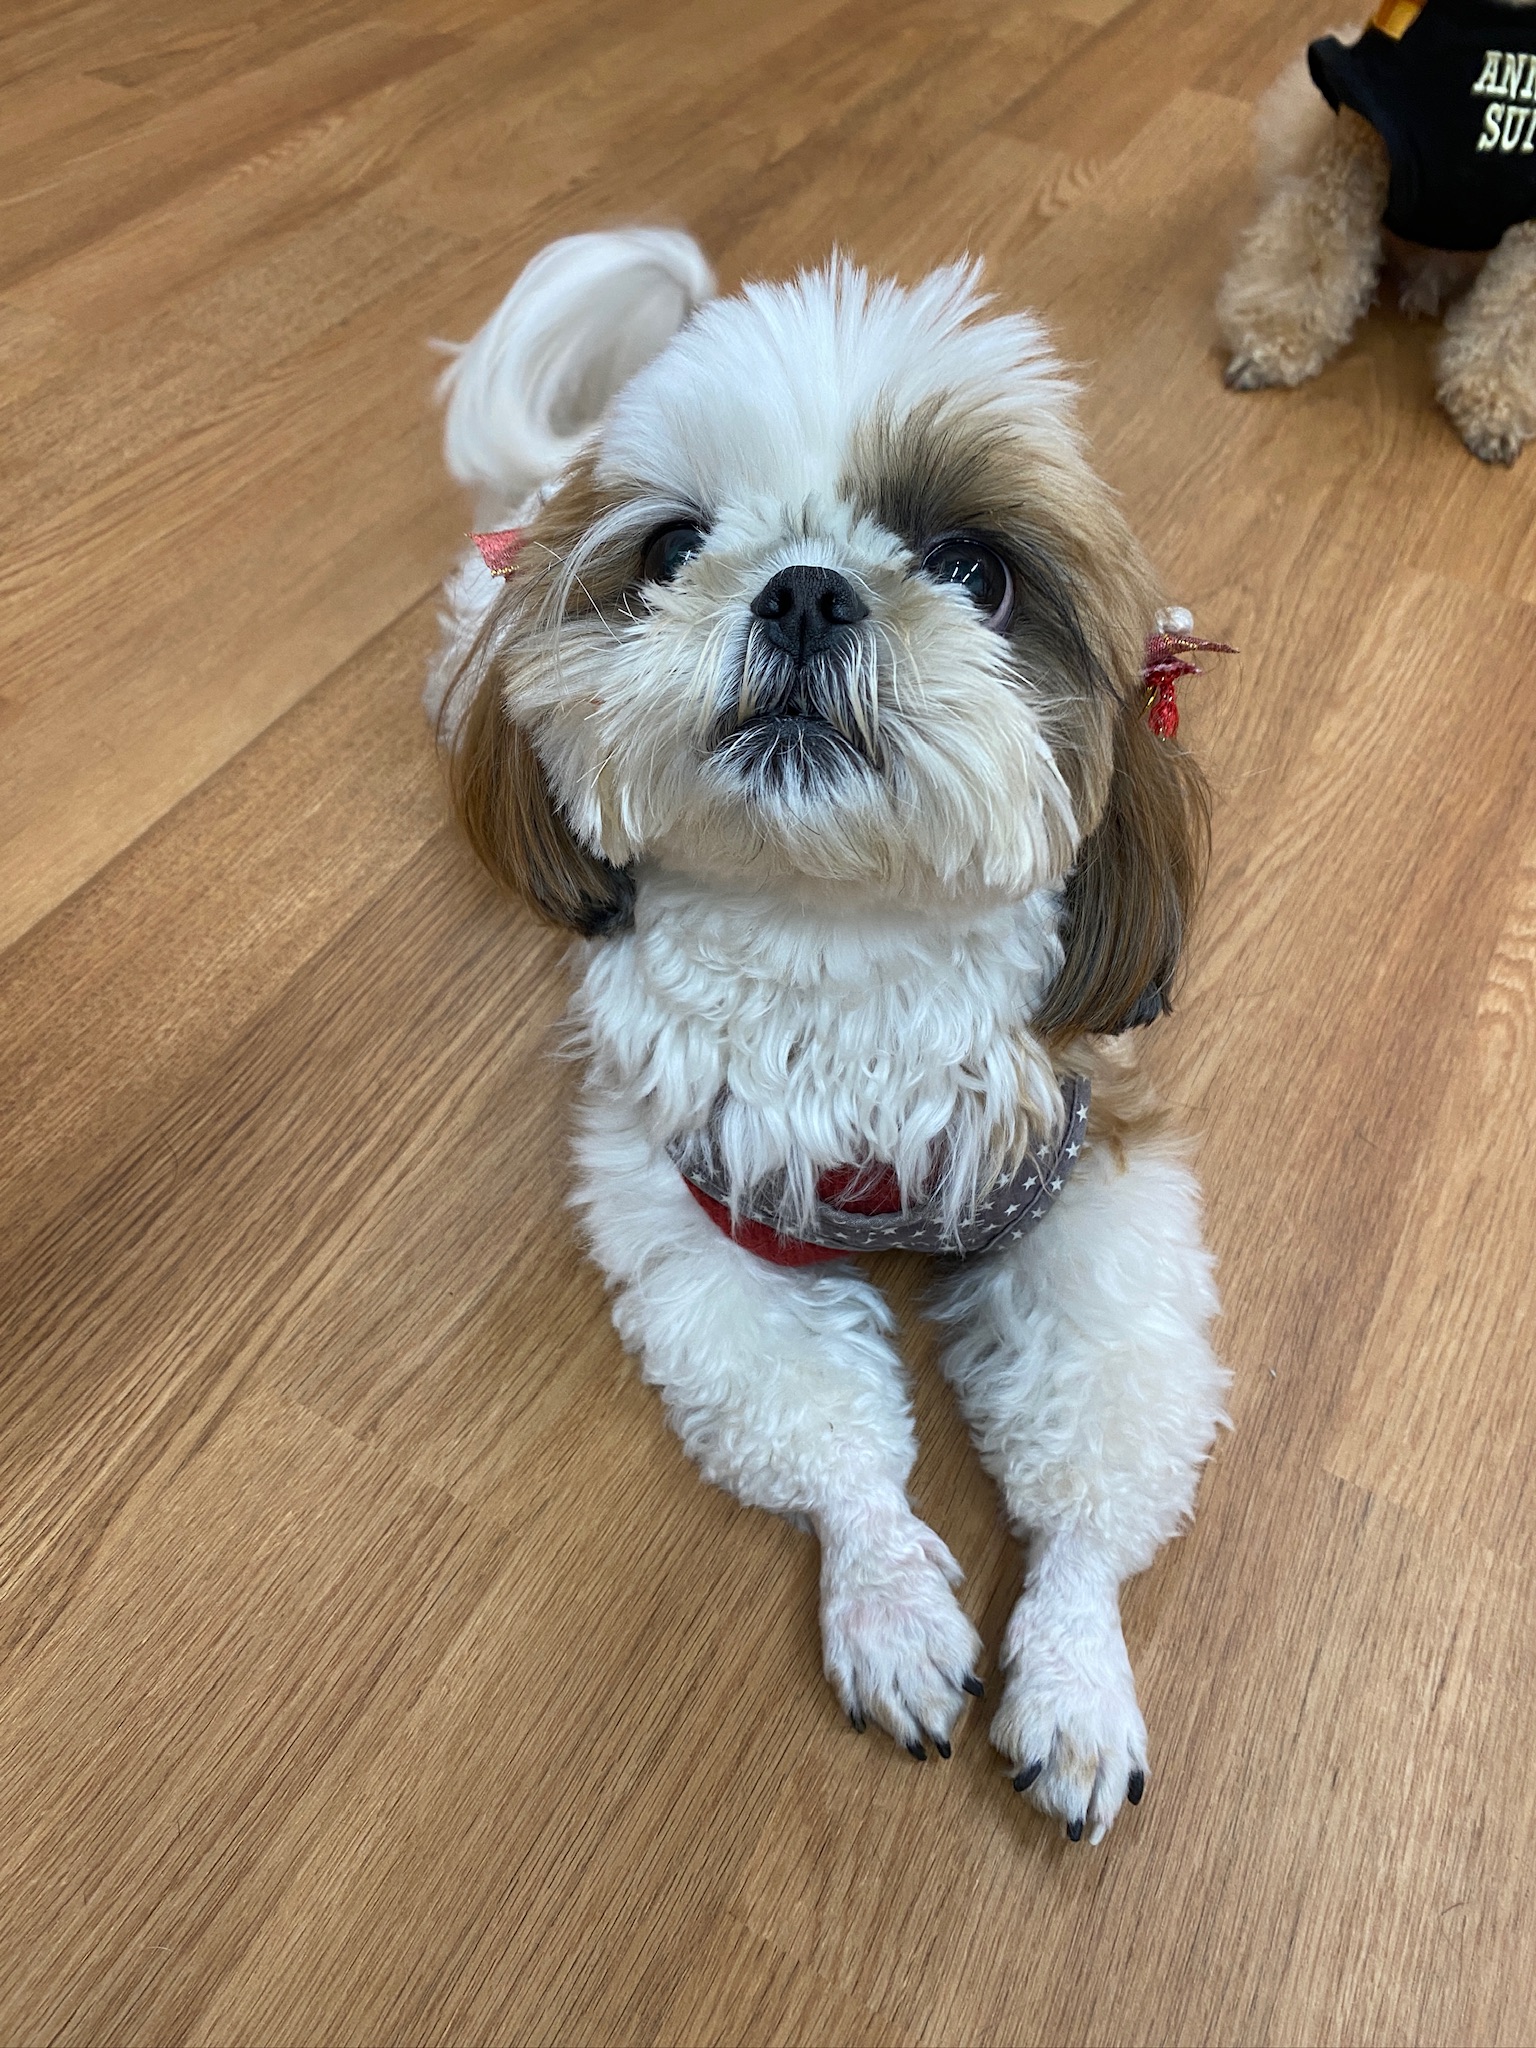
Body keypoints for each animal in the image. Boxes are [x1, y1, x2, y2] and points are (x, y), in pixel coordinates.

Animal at [429, 231, 1228, 1844]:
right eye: (674, 549)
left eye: (976, 569)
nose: (802, 591)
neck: (842, 945)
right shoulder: (711, 1214)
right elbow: (825, 1436)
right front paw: (892, 1609)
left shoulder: (1089, 1182)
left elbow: (1097, 1460)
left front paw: (1076, 1673)